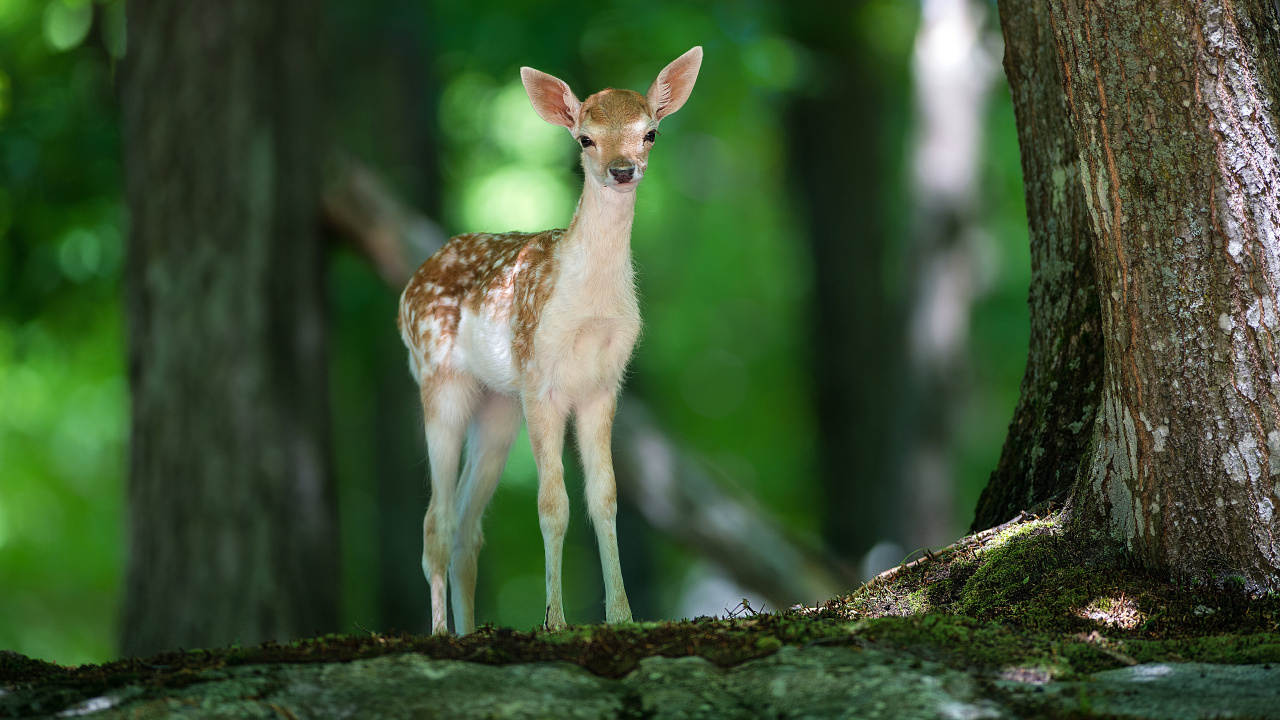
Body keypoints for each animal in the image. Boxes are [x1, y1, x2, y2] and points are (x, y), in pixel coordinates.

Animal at [396, 49, 706, 632]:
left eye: (650, 132)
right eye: (585, 138)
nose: (622, 170)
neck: (588, 308)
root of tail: (408, 288)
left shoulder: (604, 385)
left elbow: (604, 498)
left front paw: (622, 616)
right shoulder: (541, 380)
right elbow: (552, 504)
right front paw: (555, 621)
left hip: (499, 404)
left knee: (468, 527)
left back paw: (469, 631)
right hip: (440, 378)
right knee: (435, 522)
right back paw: (442, 634)